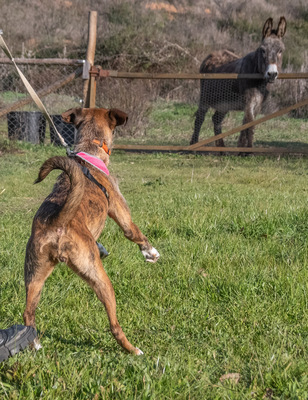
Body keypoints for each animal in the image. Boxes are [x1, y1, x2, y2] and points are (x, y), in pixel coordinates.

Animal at [22, 108, 160, 354]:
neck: (88, 151)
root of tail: (58, 221)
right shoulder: (121, 214)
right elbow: (134, 233)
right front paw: (150, 252)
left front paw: (102, 247)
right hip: (99, 279)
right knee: (114, 325)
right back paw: (133, 350)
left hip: (34, 273)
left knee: (28, 312)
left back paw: (35, 344)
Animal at [191, 16, 288, 148]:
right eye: (263, 50)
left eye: (280, 51)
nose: (272, 74)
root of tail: (211, 55)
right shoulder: (248, 103)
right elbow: (249, 126)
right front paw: (247, 150)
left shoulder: (257, 105)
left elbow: (246, 127)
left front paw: (243, 148)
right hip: (205, 98)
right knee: (199, 118)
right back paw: (193, 145)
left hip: (224, 103)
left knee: (216, 119)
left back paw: (221, 148)